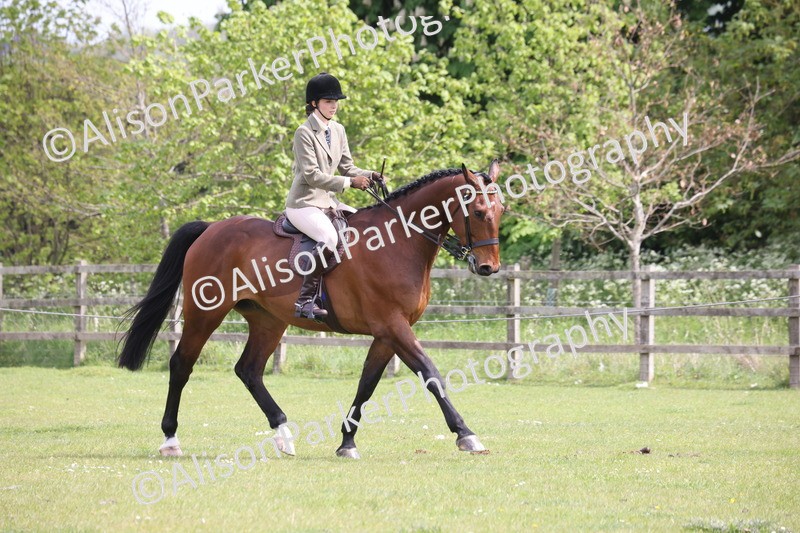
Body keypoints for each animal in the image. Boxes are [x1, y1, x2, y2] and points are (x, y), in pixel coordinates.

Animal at [118, 160, 505, 459]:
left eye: (501, 211)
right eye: (478, 212)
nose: (488, 268)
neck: (398, 242)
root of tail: (211, 228)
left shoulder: (386, 333)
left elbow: (367, 384)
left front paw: (347, 442)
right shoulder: (394, 327)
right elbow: (431, 374)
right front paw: (466, 435)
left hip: (268, 320)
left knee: (249, 370)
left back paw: (283, 434)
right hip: (205, 313)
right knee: (181, 364)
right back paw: (171, 439)